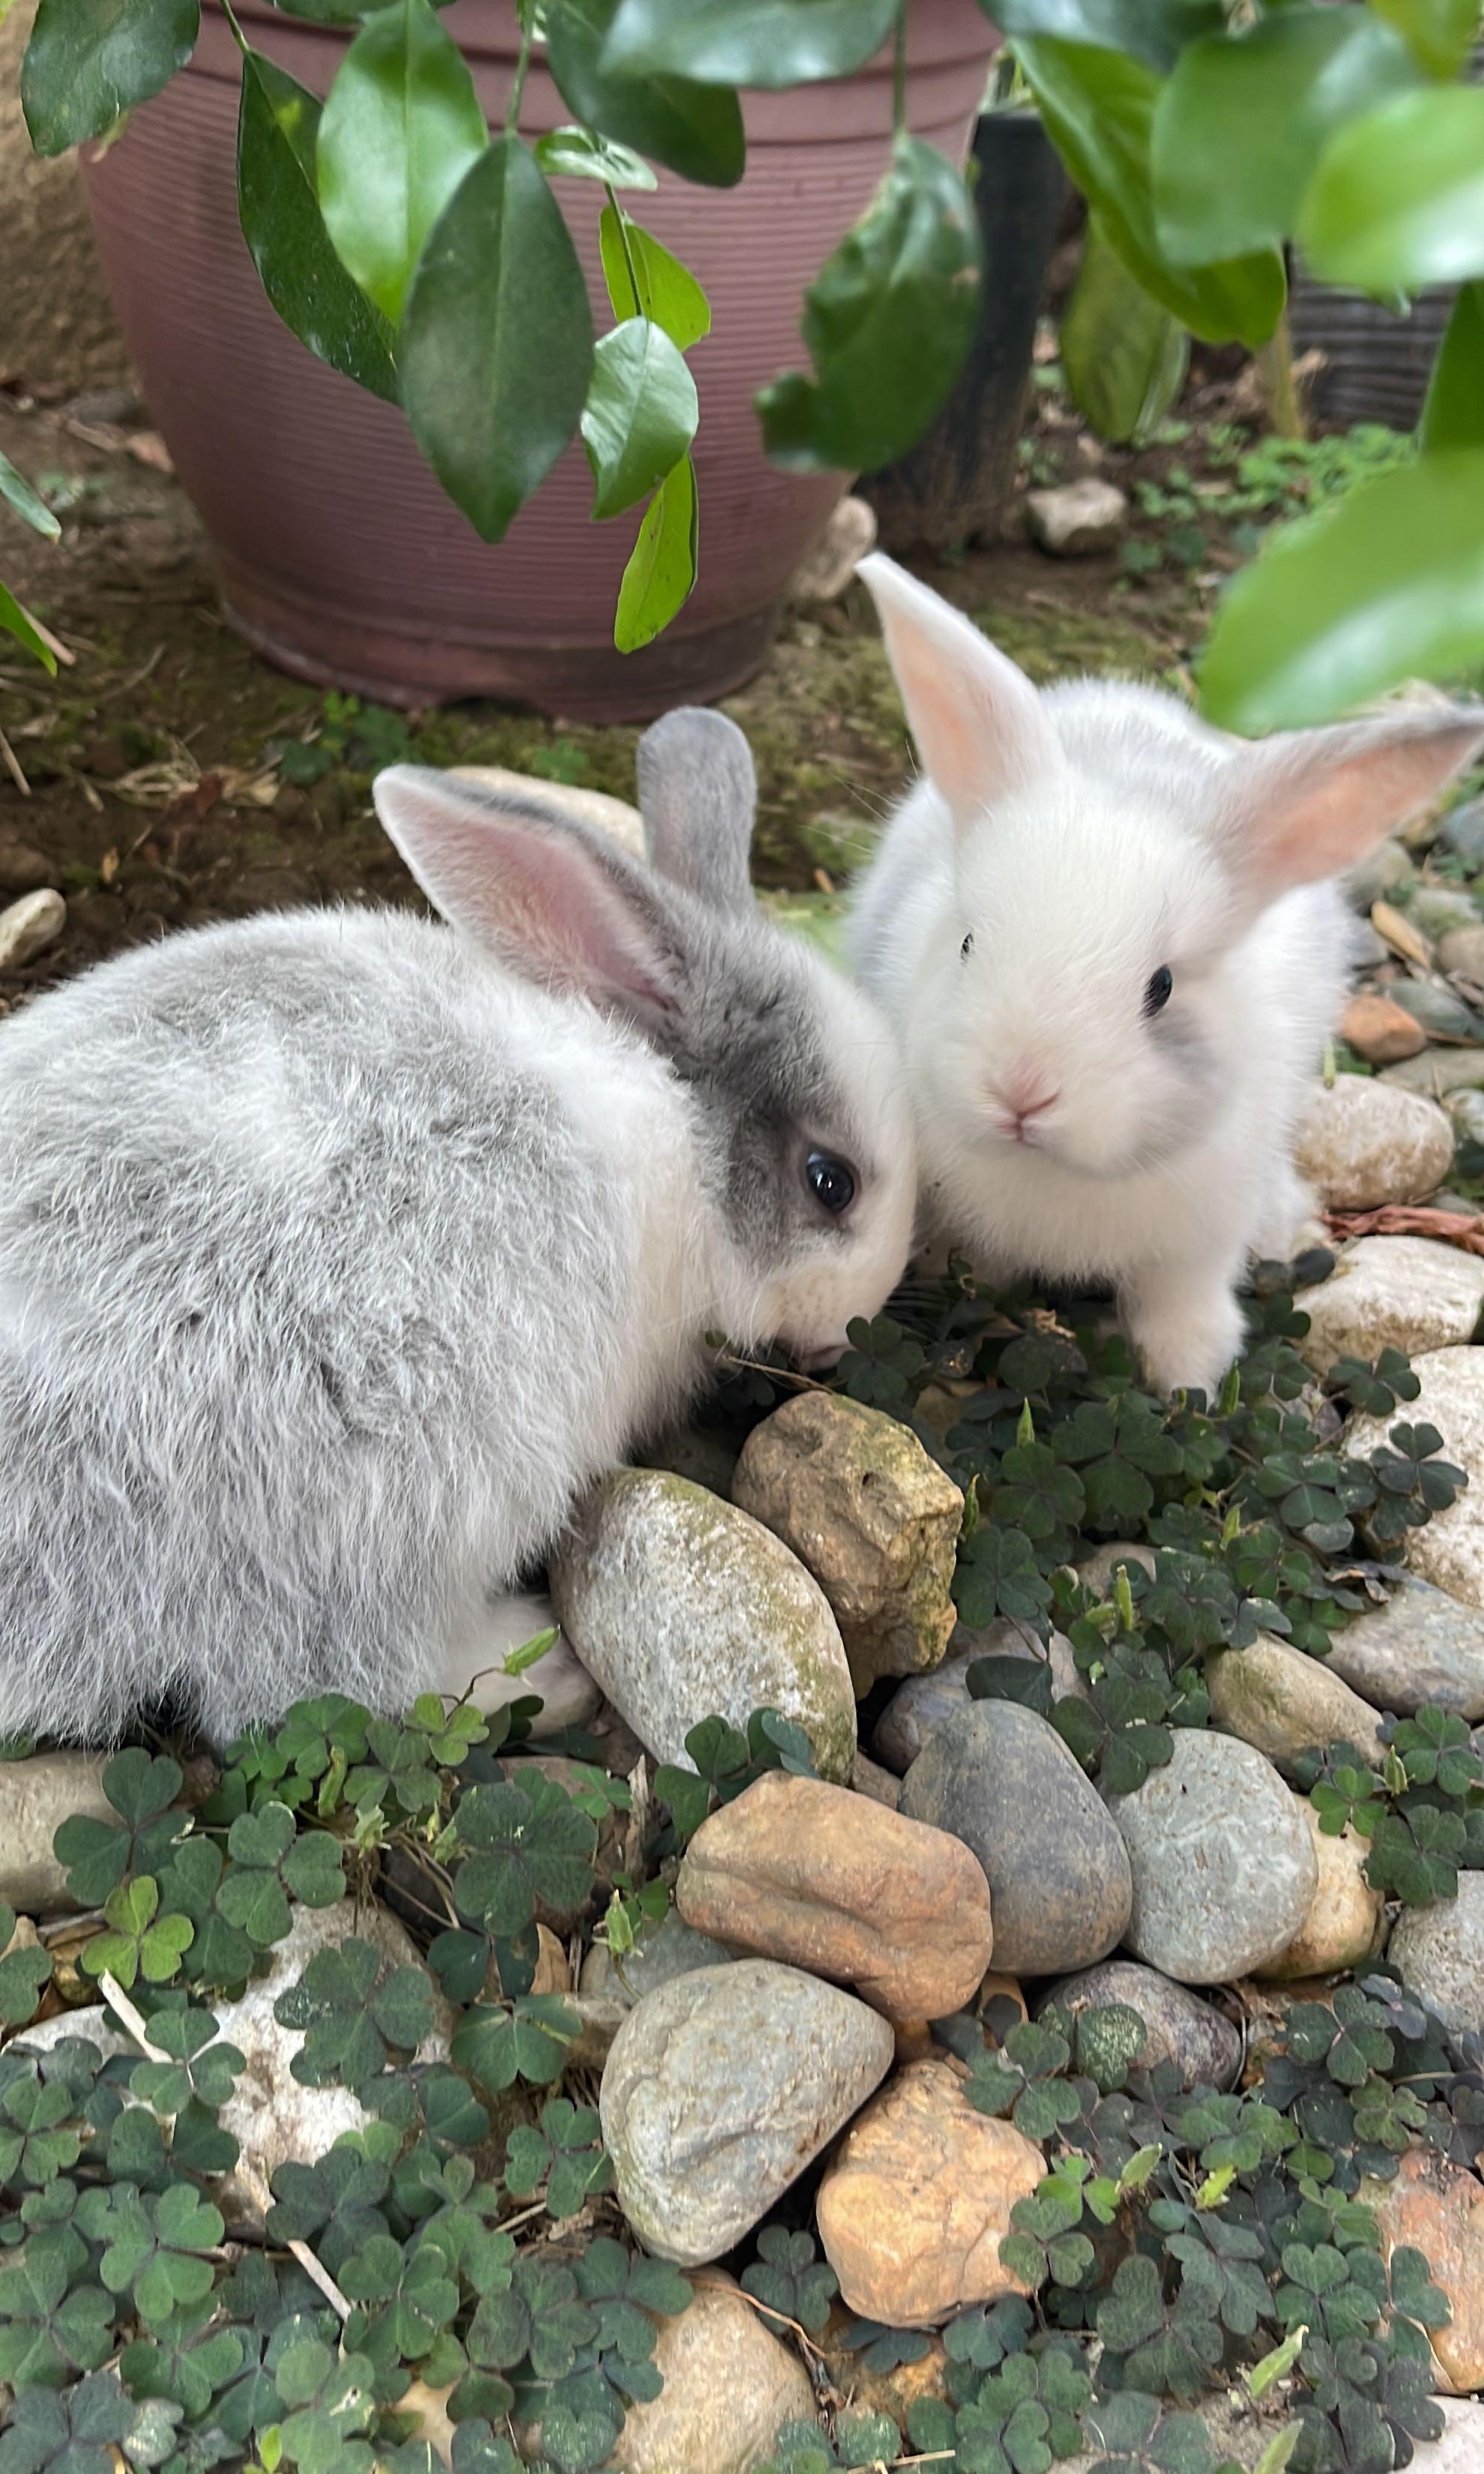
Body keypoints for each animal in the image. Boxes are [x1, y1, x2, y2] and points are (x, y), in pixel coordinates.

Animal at [0, 709, 916, 1746]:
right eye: (830, 1182)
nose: (841, 1343)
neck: (677, 1121)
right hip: (410, 1481)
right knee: (324, 1677)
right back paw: (544, 1668)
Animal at [848, 554, 1484, 1400]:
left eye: (1162, 987)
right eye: (968, 943)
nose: (1020, 1090)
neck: (1059, 1175)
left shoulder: (1197, 1242)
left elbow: (1182, 1306)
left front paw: (1192, 1383)